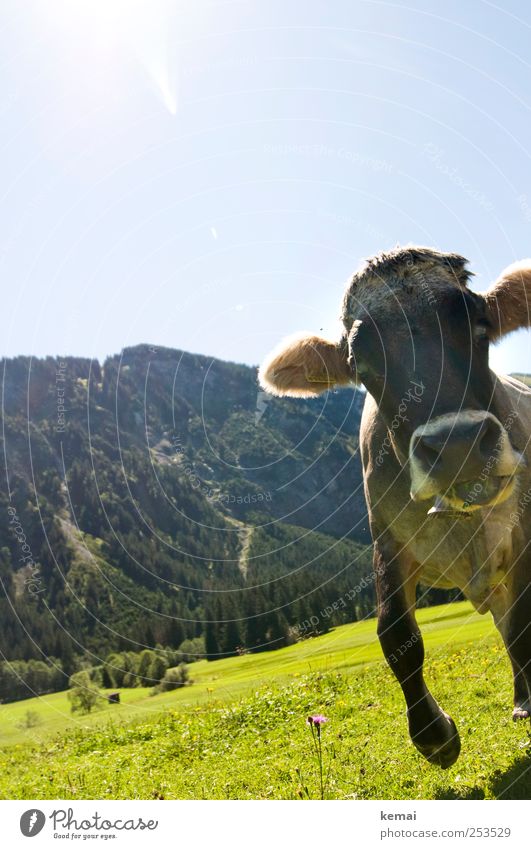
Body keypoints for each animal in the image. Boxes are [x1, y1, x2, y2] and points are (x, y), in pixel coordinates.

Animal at [260, 245, 531, 768]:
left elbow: (528, 624)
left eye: (480, 325)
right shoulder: (387, 542)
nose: (458, 445)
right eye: (361, 365)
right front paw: (433, 734)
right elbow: (394, 633)